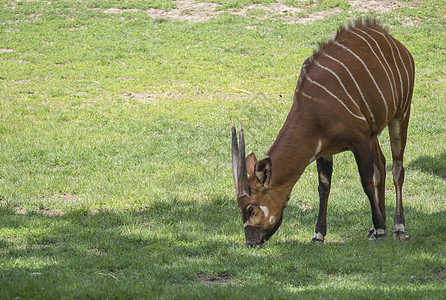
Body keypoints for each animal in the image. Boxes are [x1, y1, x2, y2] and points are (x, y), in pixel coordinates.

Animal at [233, 19, 414, 248]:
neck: (313, 109)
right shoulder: (324, 150)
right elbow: (324, 187)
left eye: (251, 208)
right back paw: (373, 228)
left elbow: (366, 181)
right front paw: (318, 235)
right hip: (374, 134)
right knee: (381, 165)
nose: (251, 242)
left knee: (396, 168)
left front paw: (382, 229)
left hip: (400, 115)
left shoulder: (359, 141)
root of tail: (393, 40)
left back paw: (398, 228)